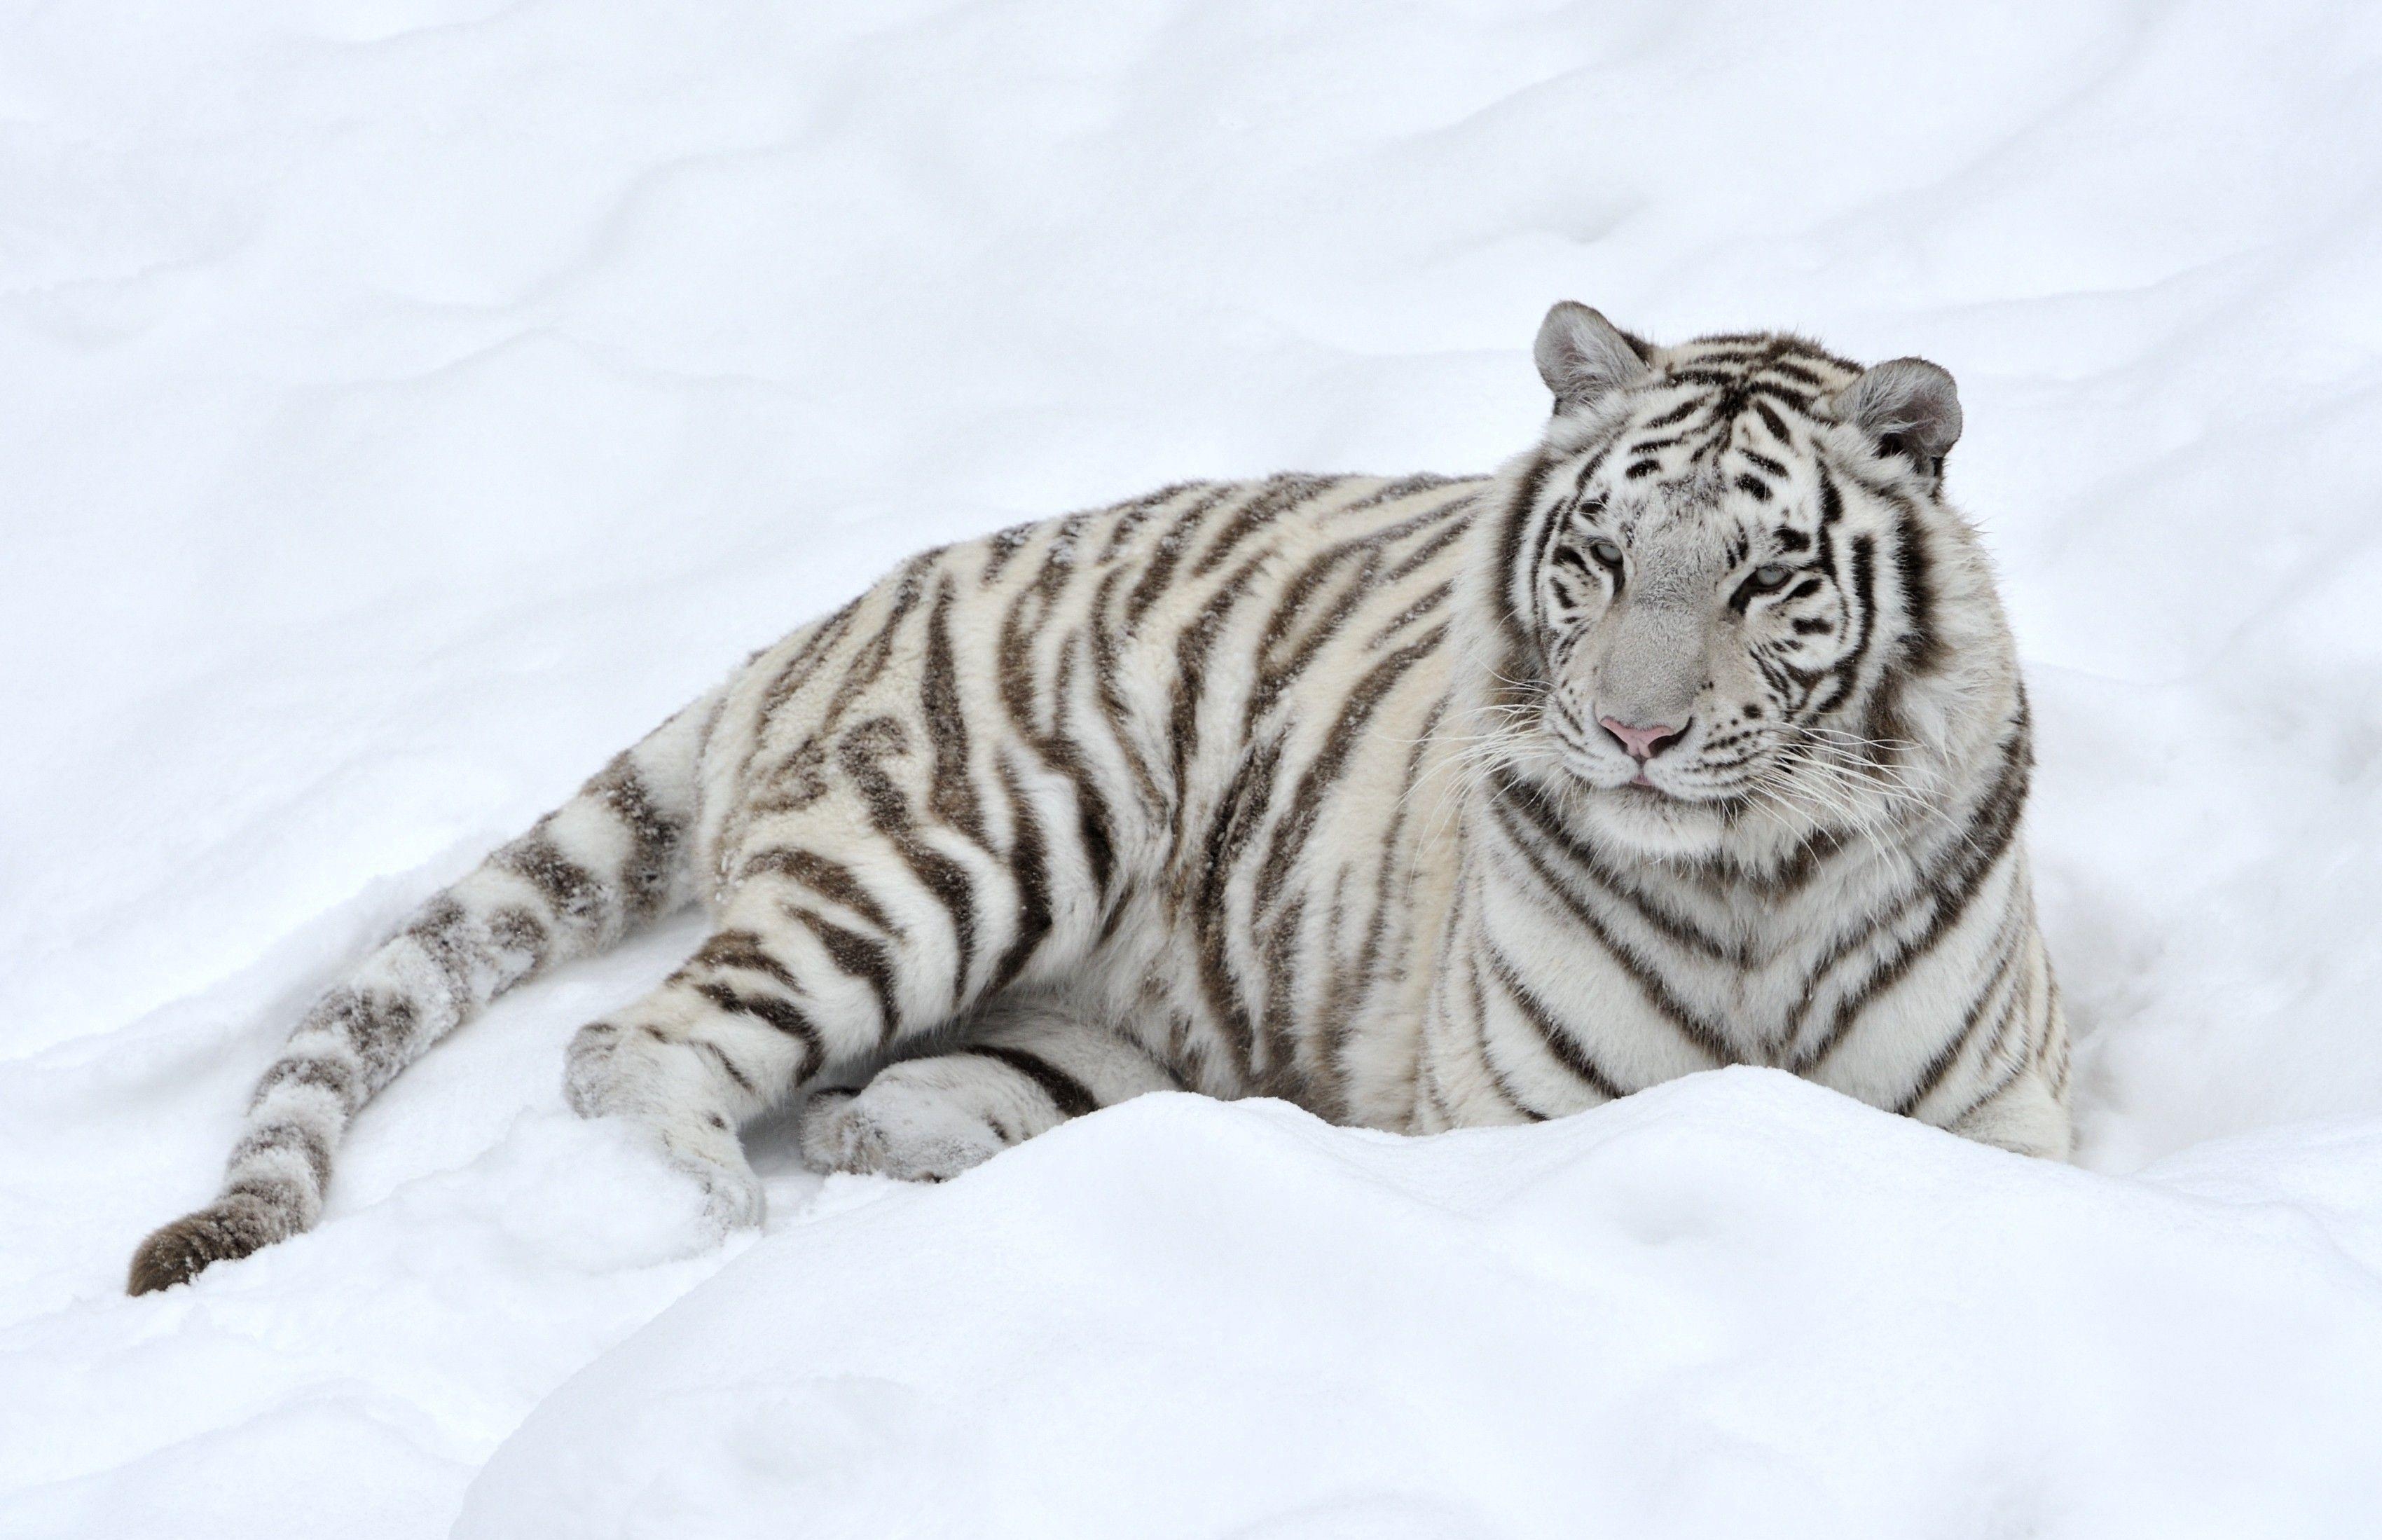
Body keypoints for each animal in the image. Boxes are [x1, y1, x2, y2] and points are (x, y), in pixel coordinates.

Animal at [130, 307, 2067, 1296]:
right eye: (1593, 558)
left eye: (1759, 577)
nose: (1629, 733)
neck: (1746, 881)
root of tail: (809, 627)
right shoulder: (1508, 1123)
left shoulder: (1996, 1116)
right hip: (958, 843)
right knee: (639, 1040)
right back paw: (698, 1218)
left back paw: (889, 1139)